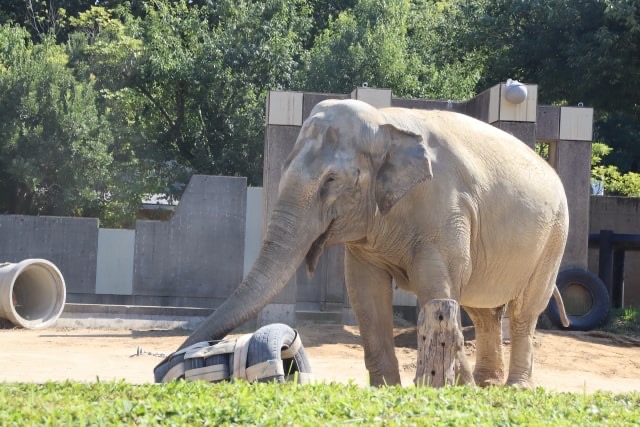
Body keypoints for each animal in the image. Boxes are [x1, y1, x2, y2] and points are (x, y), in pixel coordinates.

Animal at [166, 98, 568, 390]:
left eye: (331, 180)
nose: (171, 363)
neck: (385, 122)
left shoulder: (445, 210)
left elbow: (436, 287)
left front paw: (457, 388)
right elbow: (364, 291)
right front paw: (387, 389)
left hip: (556, 234)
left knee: (523, 311)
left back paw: (514, 387)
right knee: (483, 309)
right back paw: (488, 384)